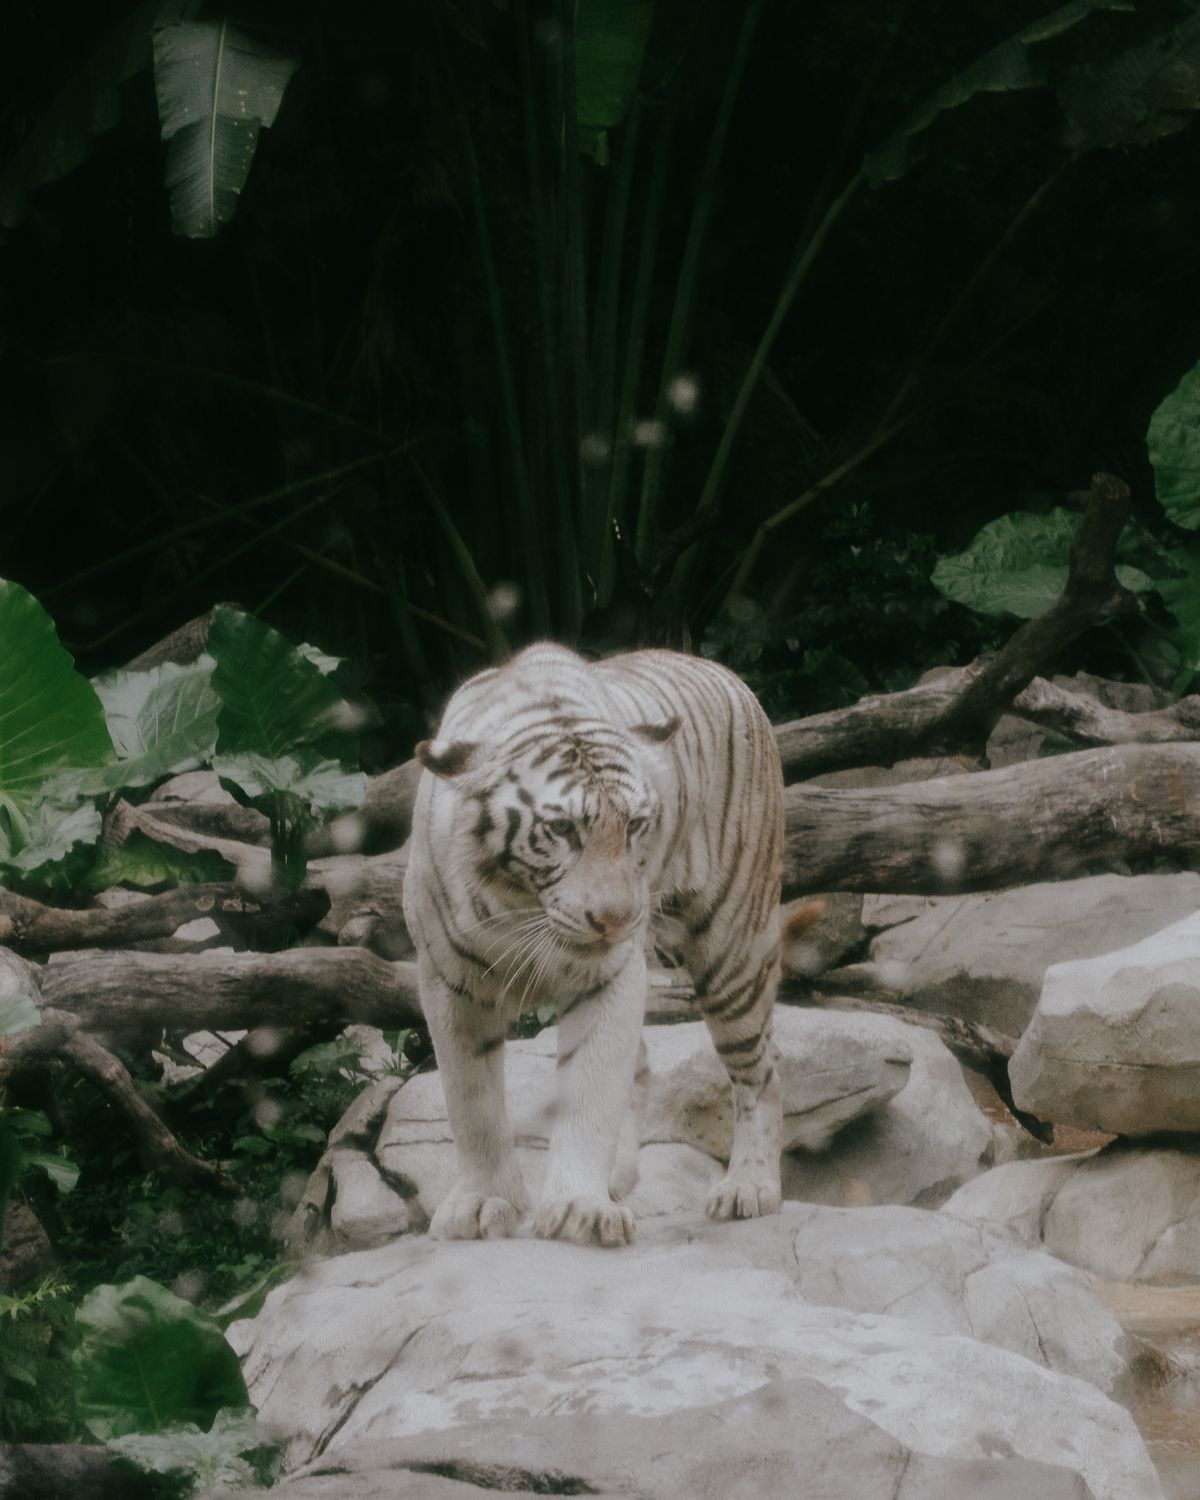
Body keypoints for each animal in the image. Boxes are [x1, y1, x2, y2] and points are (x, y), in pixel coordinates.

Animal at [402, 642, 785, 1247]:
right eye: (561, 831)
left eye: (635, 825)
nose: (618, 918)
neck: (519, 908)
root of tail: (726, 674)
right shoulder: (448, 983)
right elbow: (471, 1103)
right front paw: (484, 1202)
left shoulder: (609, 976)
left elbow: (589, 1087)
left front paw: (579, 1208)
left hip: (735, 947)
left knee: (760, 1073)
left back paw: (749, 1187)